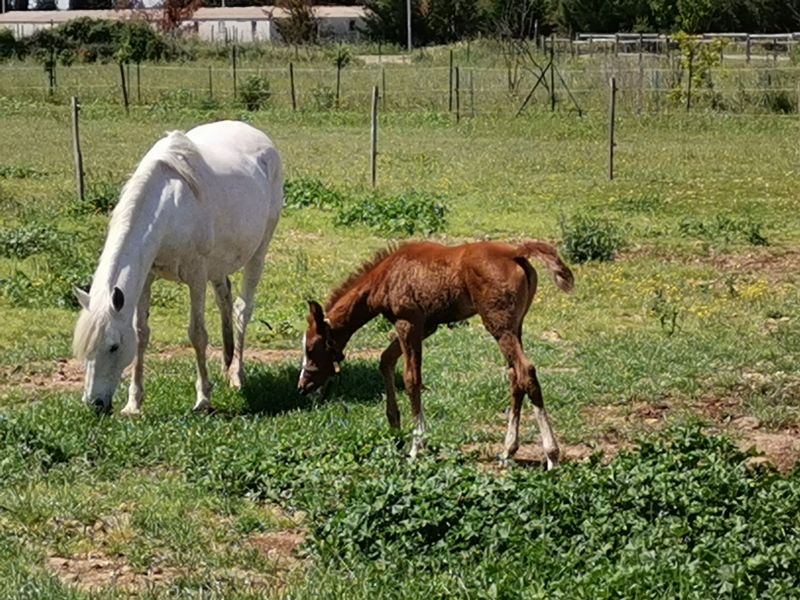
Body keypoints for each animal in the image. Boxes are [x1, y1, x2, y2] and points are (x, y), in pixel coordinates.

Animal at [72, 121, 284, 412]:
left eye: (113, 347)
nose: (95, 404)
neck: (170, 204)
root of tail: (261, 138)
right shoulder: (147, 277)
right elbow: (141, 333)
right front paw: (133, 403)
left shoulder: (196, 275)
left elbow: (197, 334)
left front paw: (203, 399)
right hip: (219, 265)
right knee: (225, 299)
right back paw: (226, 364)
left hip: (258, 252)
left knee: (242, 309)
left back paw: (237, 375)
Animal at [296, 239, 572, 468]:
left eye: (310, 349)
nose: (302, 386)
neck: (386, 275)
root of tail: (515, 252)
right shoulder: (426, 326)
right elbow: (386, 361)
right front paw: (395, 427)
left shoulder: (408, 323)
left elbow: (412, 379)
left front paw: (416, 445)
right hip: (516, 326)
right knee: (515, 377)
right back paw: (508, 451)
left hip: (499, 326)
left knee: (526, 371)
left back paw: (551, 455)